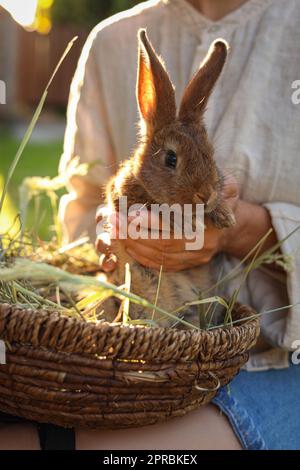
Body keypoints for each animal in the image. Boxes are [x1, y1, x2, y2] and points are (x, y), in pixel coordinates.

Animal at [103, 29, 234, 328]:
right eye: (171, 159)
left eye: (210, 154)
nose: (205, 194)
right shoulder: (123, 198)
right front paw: (183, 221)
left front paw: (225, 216)